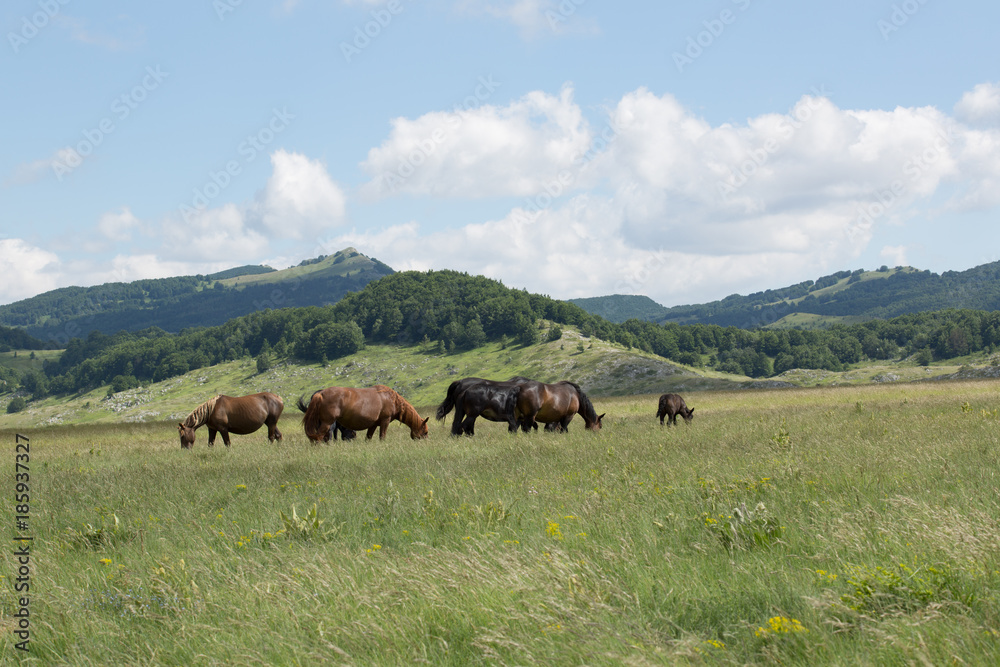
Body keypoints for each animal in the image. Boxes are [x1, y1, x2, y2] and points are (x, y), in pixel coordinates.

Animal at [292, 386, 426, 444]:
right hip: (326, 423)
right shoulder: (385, 421)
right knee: (320, 437)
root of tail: (320, 394)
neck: (391, 399)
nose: (425, 442)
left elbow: (368, 437)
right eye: (425, 432)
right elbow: (382, 436)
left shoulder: (373, 424)